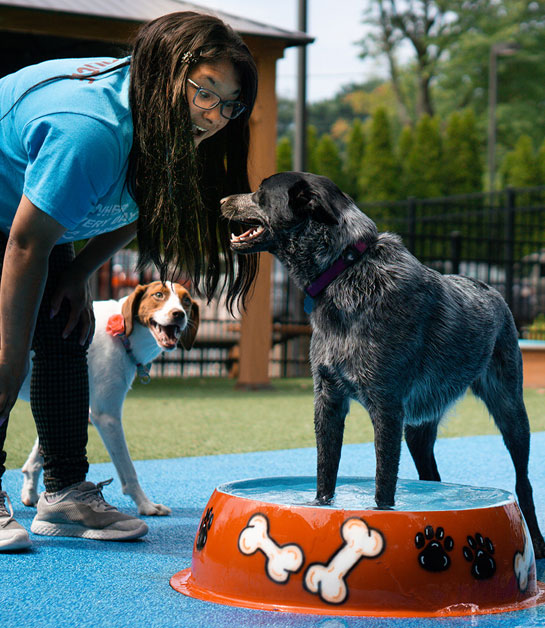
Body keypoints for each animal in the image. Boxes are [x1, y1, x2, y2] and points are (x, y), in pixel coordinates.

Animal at [18, 280, 200, 516]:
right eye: (159, 295)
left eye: (186, 300)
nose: (178, 314)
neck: (124, 335)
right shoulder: (106, 416)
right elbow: (128, 470)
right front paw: (146, 505)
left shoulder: (65, 399)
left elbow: (40, 453)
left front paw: (31, 493)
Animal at [221, 172, 544, 560]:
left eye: (260, 193)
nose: (221, 201)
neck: (345, 271)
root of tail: (493, 290)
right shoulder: (328, 403)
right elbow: (324, 478)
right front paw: (320, 509)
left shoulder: (386, 408)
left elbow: (383, 487)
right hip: (418, 428)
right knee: (432, 476)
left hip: (511, 411)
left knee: (523, 483)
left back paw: (537, 541)